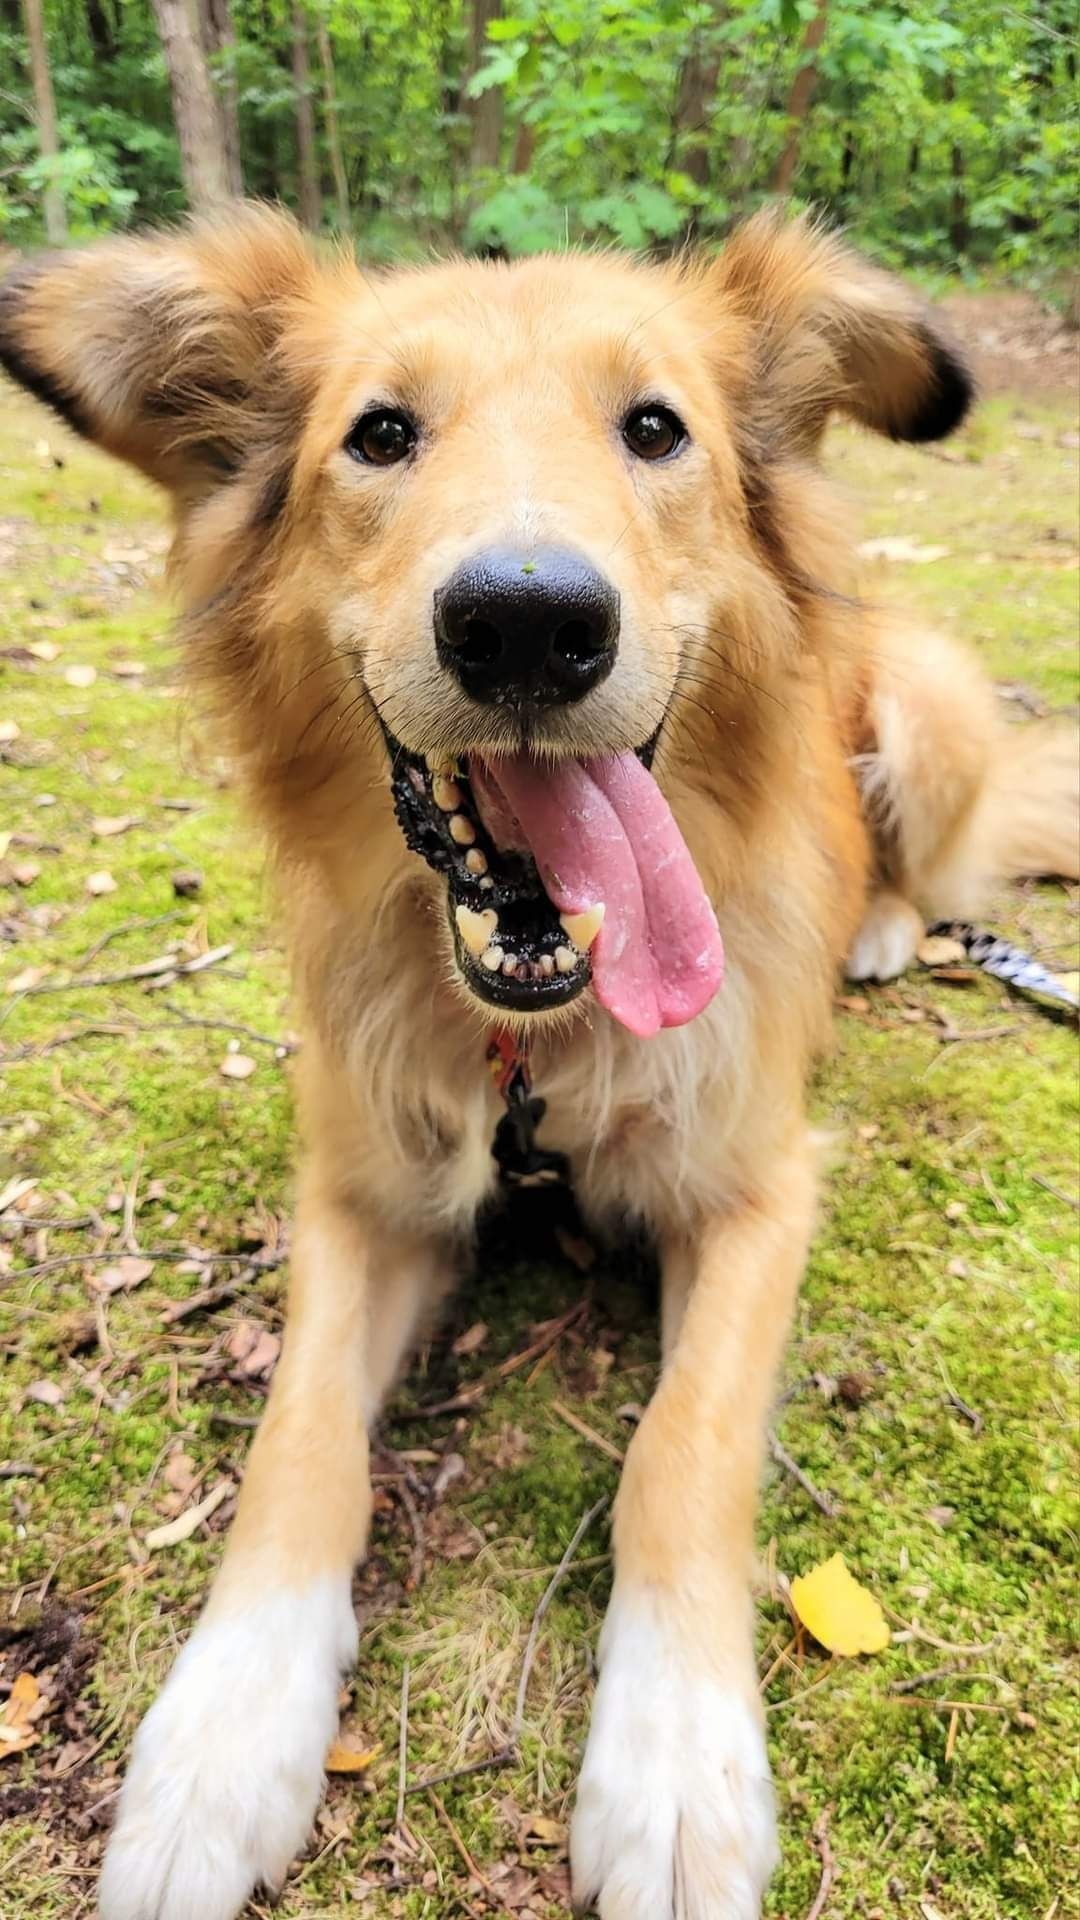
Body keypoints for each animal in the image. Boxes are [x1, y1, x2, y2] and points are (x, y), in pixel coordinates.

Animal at [4, 202, 1068, 1912]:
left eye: (656, 430)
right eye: (379, 434)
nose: (524, 624)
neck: (534, 1040)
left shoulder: (760, 1194)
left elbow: (680, 1455)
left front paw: (678, 1767)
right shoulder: (359, 1195)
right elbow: (299, 1444)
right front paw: (222, 1739)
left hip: (919, 703)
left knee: (935, 859)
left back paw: (889, 930)